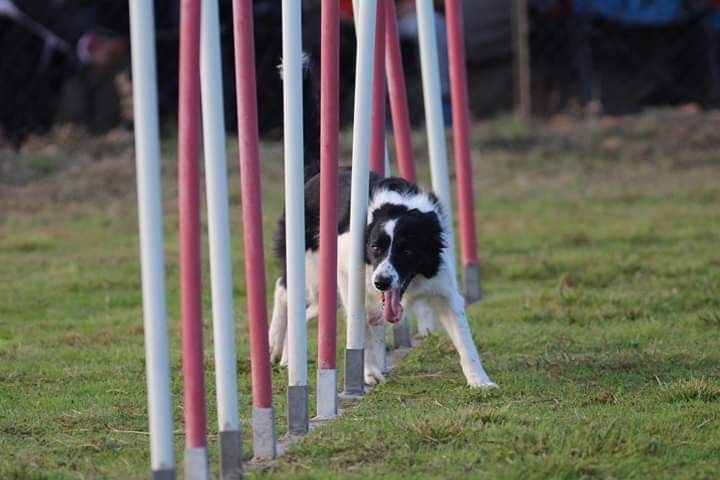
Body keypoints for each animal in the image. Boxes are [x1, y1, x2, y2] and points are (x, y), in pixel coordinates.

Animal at [264, 57, 496, 386]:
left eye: (407, 250)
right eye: (375, 248)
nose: (382, 281)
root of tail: (317, 171)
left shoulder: (443, 288)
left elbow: (464, 340)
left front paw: (480, 381)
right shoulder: (352, 276)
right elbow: (362, 328)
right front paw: (369, 372)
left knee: (315, 310)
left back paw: (286, 354)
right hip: (312, 267)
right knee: (284, 288)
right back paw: (274, 342)